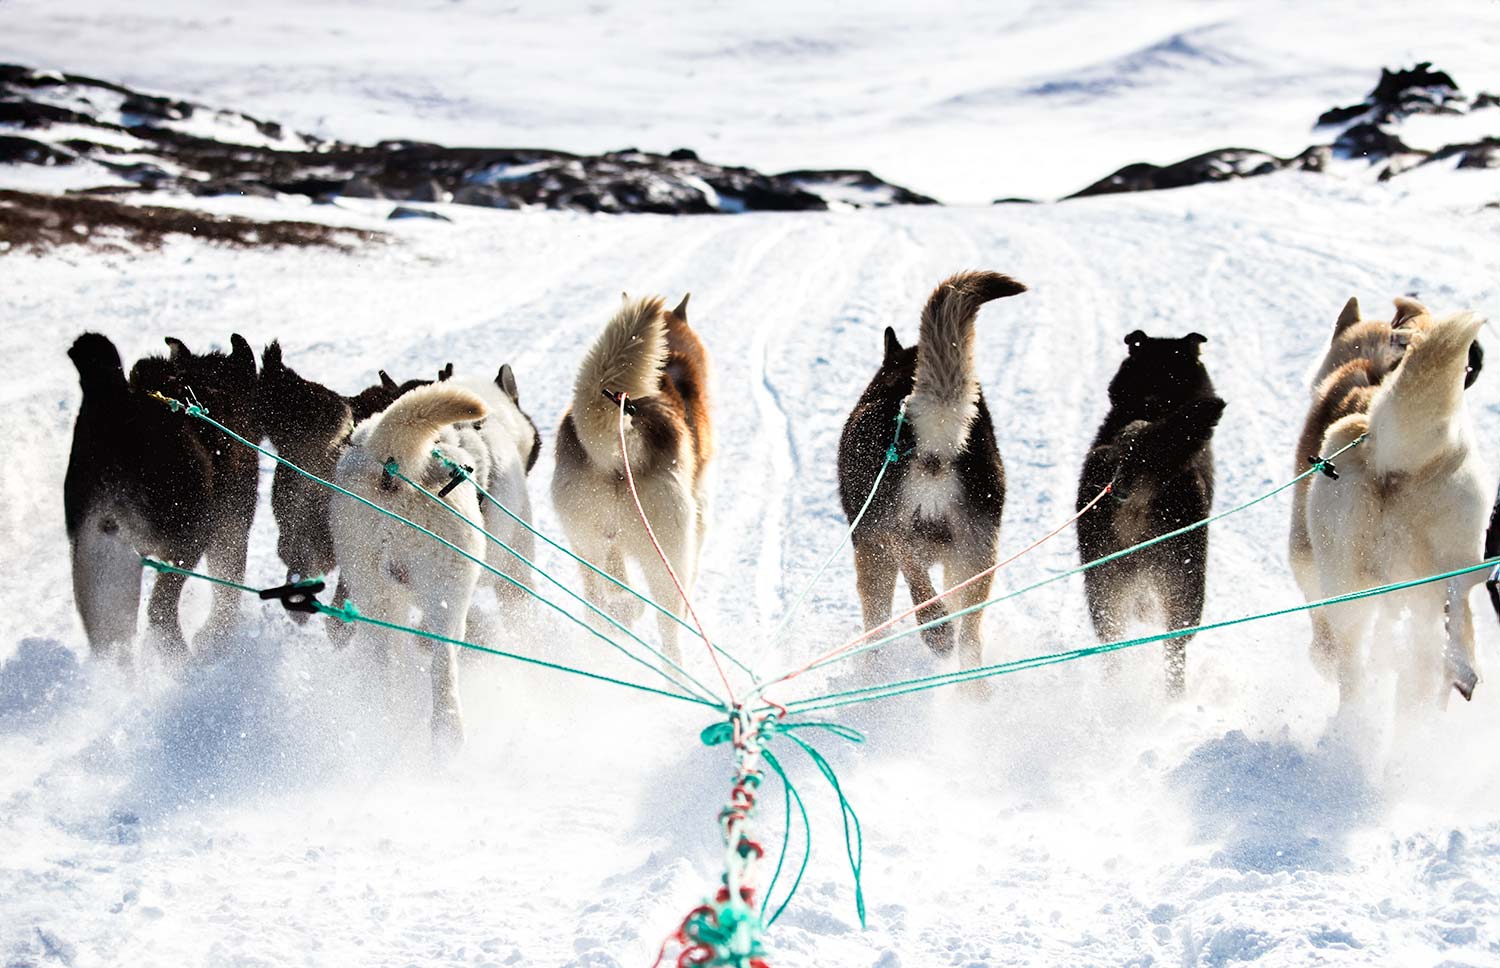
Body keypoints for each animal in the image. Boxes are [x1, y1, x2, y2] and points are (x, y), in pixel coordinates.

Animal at [65, 331, 261, 663]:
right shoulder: (231, 523)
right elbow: (229, 587)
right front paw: (216, 635)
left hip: (102, 556)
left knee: (115, 642)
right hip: (188, 537)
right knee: (160, 612)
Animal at [333, 366, 540, 750]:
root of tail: (390, 464)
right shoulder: (514, 575)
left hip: (374, 596)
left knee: (384, 662)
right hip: (448, 588)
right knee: (443, 665)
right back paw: (448, 734)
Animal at [555, 291, 711, 660]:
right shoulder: (699, 516)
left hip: (585, 543)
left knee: (599, 594)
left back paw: (617, 618)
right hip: (667, 558)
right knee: (668, 629)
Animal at [1296, 295, 1494, 708]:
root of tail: (1392, 454)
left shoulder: (1302, 555)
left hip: (1347, 581)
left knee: (1354, 661)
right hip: (1455, 559)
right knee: (1450, 616)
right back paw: (1449, 680)